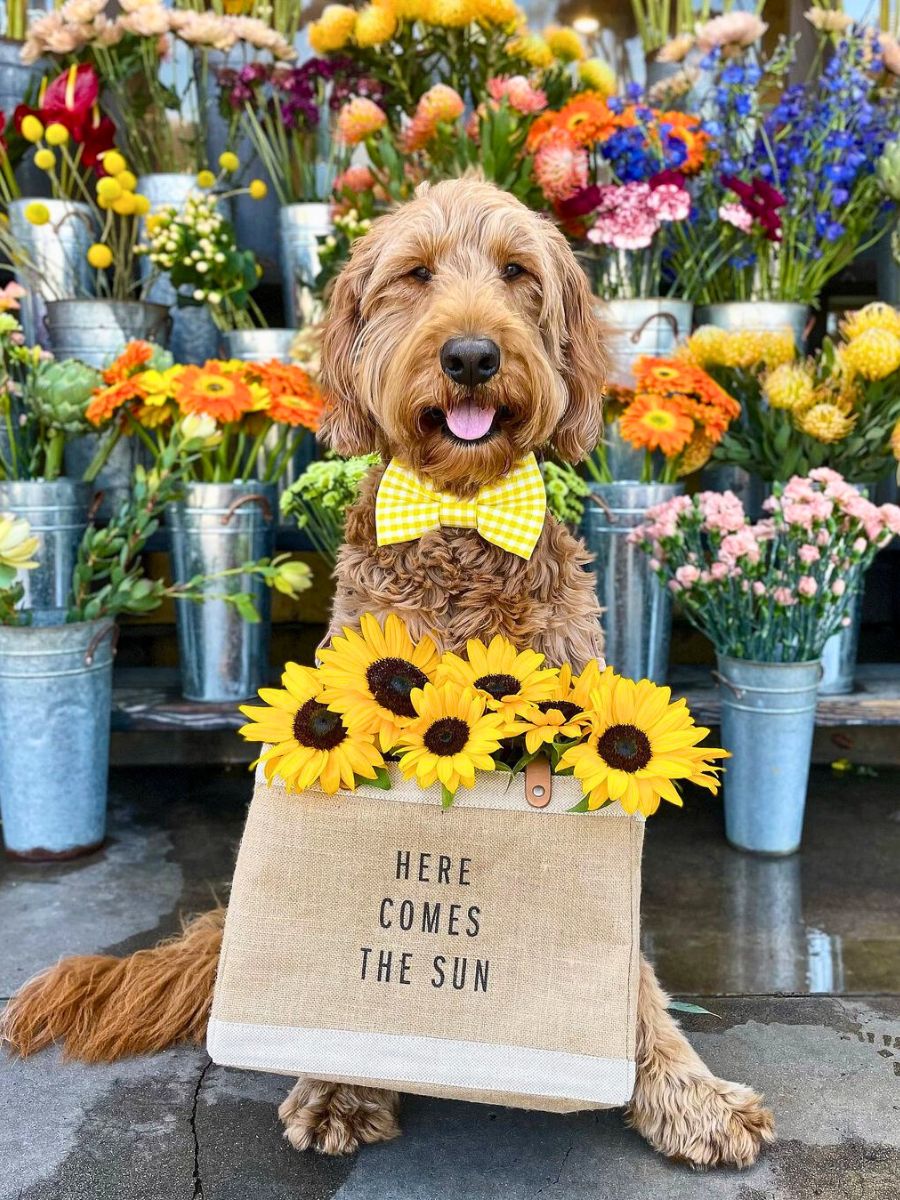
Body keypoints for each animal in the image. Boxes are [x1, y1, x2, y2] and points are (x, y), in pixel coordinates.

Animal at [0, 177, 777, 1171]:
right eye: (416, 274)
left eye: (517, 272)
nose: (473, 354)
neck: (459, 514)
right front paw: (340, 1084)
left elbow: (632, 973)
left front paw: (689, 1094)